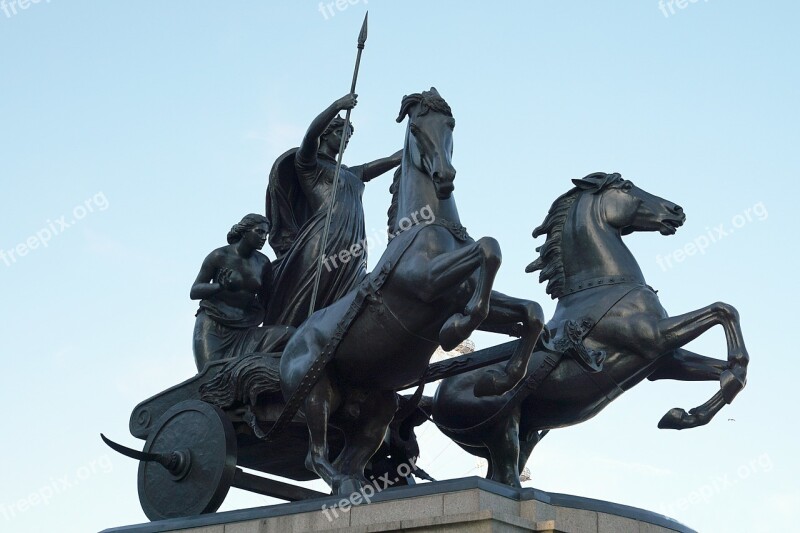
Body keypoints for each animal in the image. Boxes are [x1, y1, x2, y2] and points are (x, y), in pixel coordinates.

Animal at [276, 88, 544, 494]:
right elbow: (488, 249)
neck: (428, 229)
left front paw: (500, 379)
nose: (444, 176)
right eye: (416, 128)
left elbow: (530, 311)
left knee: (353, 459)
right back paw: (343, 485)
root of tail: (288, 345)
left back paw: (361, 487)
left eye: (451, 124)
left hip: (379, 407)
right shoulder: (428, 282)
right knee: (316, 455)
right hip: (315, 391)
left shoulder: (462, 292)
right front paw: (455, 331)